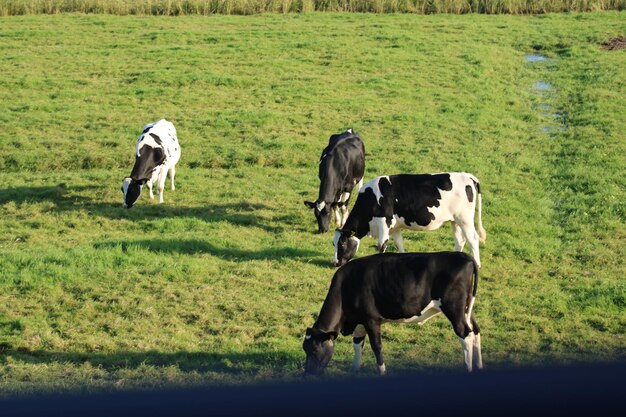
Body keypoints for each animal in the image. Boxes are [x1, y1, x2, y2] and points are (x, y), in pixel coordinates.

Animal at [300, 250, 480, 374]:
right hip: (466, 309)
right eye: (305, 349)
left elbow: (376, 346)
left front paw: (382, 372)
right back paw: (479, 365)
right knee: (475, 331)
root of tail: (464, 256)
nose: (308, 373)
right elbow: (357, 345)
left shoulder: (372, 320)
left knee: (465, 335)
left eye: (315, 350)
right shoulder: (360, 323)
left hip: (454, 308)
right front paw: (354, 370)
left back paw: (468, 369)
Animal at [330, 172, 486, 266]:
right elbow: (399, 244)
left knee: (473, 239)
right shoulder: (394, 227)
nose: (335, 263)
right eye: (334, 244)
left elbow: (382, 245)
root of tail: (468, 176)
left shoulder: (384, 222)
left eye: (341, 244)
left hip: (465, 219)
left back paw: (477, 264)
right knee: (460, 240)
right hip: (455, 221)